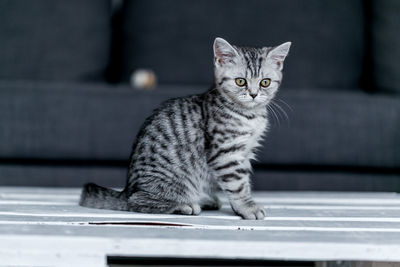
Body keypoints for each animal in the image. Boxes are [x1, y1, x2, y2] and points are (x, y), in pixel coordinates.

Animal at [79, 38, 290, 222]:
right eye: (240, 81)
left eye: (265, 82)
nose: (253, 94)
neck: (249, 115)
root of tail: (127, 189)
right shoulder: (226, 153)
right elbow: (237, 184)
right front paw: (247, 207)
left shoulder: (245, 152)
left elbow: (244, 181)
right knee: (137, 202)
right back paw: (184, 205)